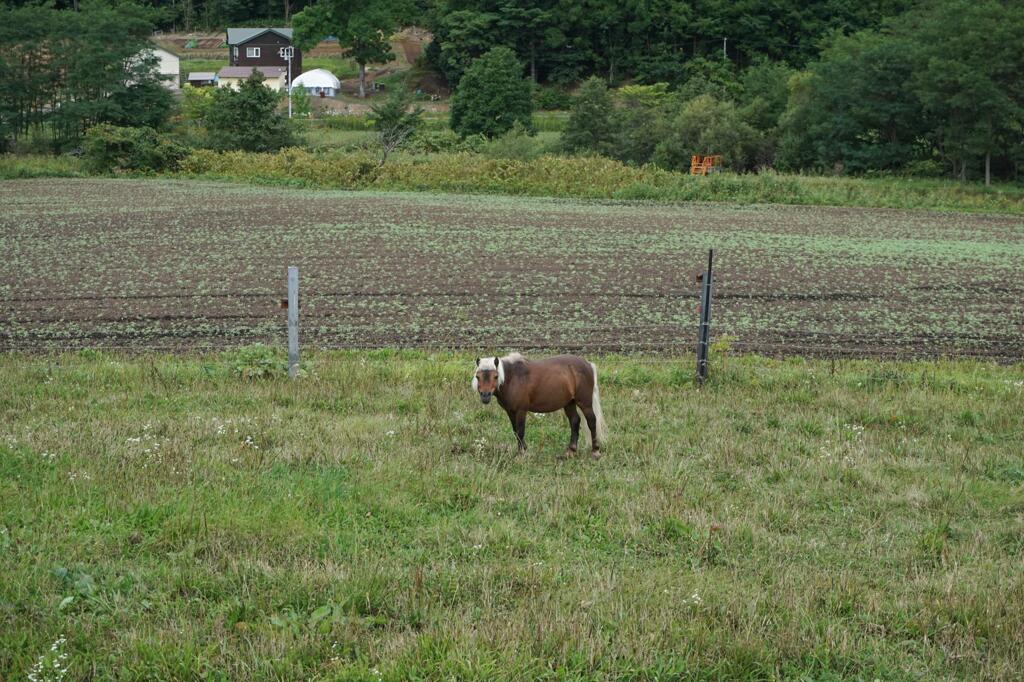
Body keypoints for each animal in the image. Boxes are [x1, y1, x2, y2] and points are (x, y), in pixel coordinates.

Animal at [473, 350, 606, 456]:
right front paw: (522, 450)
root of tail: (588, 364)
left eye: (495, 376)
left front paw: (522, 454)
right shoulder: (510, 411)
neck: (512, 378)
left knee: (591, 421)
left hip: (584, 402)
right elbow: (515, 431)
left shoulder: (521, 410)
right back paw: (571, 451)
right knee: (575, 421)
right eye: (478, 376)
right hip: (569, 402)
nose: (485, 395)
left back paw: (595, 451)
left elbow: (520, 431)